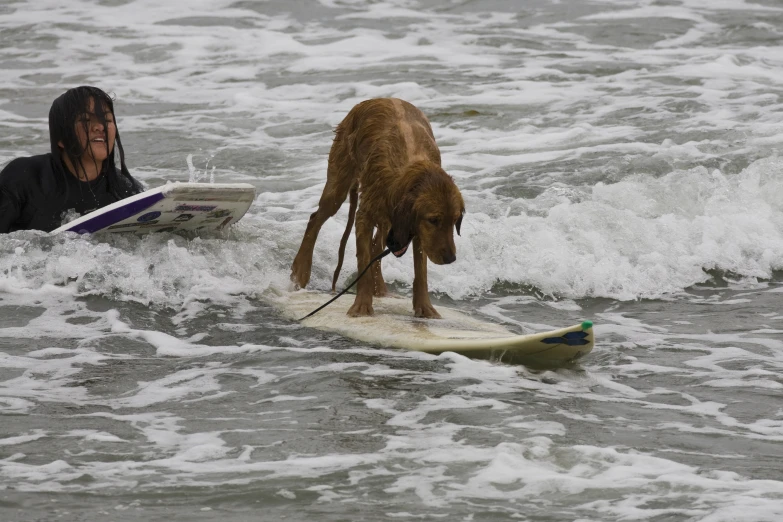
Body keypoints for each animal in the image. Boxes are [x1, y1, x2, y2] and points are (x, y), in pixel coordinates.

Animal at [290, 98, 462, 316]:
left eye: (455, 220)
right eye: (434, 220)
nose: (450, 258)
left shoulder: (415, 227)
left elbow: (420, 272)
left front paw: (425, 308)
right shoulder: (365, 217)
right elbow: (363, 263)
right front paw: (362, 306)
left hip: (387, 218)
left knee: (376, 244)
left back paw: (380, 289)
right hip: (338, 184)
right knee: (315, 220)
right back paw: (300, 272)